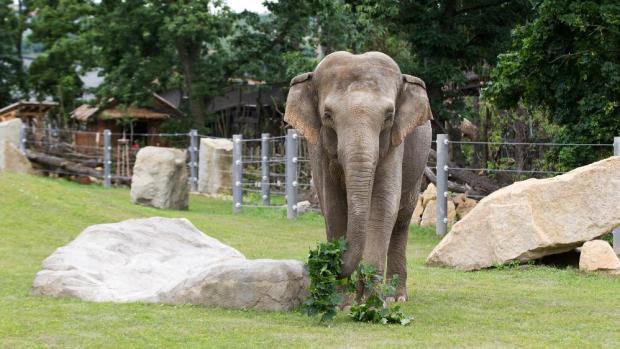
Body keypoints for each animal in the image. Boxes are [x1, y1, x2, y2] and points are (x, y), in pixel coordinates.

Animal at [284, 50, 434, 300]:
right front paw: (342, 299)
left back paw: (395, 296)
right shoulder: (319, 149)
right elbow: (333, 206)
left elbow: (383, 204)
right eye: (327, 115)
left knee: (402, 220)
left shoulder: (394, 144)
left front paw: (371, 301)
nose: (325, 261)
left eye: (389, 116)